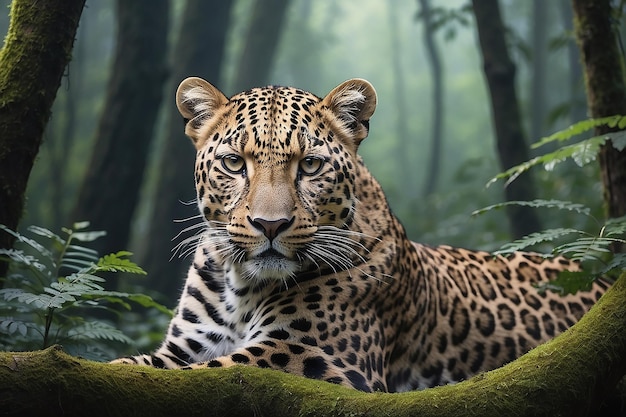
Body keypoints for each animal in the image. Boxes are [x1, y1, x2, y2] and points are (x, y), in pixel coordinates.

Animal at [109, 76, 608, 392]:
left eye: (310, 165)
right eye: (234, 163)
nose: (270, 225)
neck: (243, 287)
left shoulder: (316, 359)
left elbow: (210, 373)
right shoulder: (185, 347)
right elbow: (133, 366)